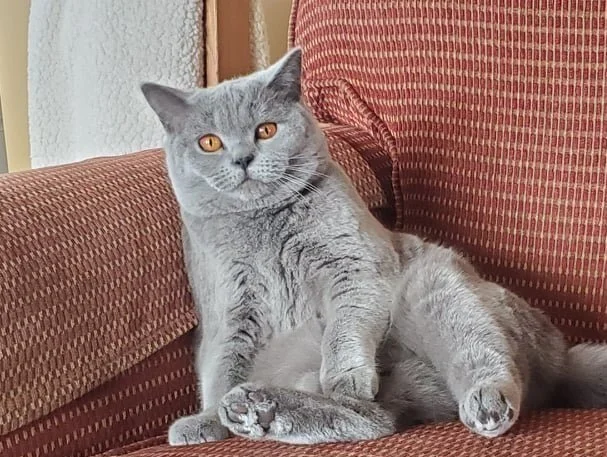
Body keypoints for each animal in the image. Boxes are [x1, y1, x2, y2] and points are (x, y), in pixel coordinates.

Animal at [141, 48, 607, 445]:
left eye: (266, 130)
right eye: (209, 142)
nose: (242, 158)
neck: (266, 230)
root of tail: (562, 357)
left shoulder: (355, 264)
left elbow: (345, 325)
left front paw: (346, 376)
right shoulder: (228, 307)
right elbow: (223, 363)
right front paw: (207, 419)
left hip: (436, 287)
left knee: (481, 354)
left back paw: (486, 405)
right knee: (374, 418)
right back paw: (255, 408)